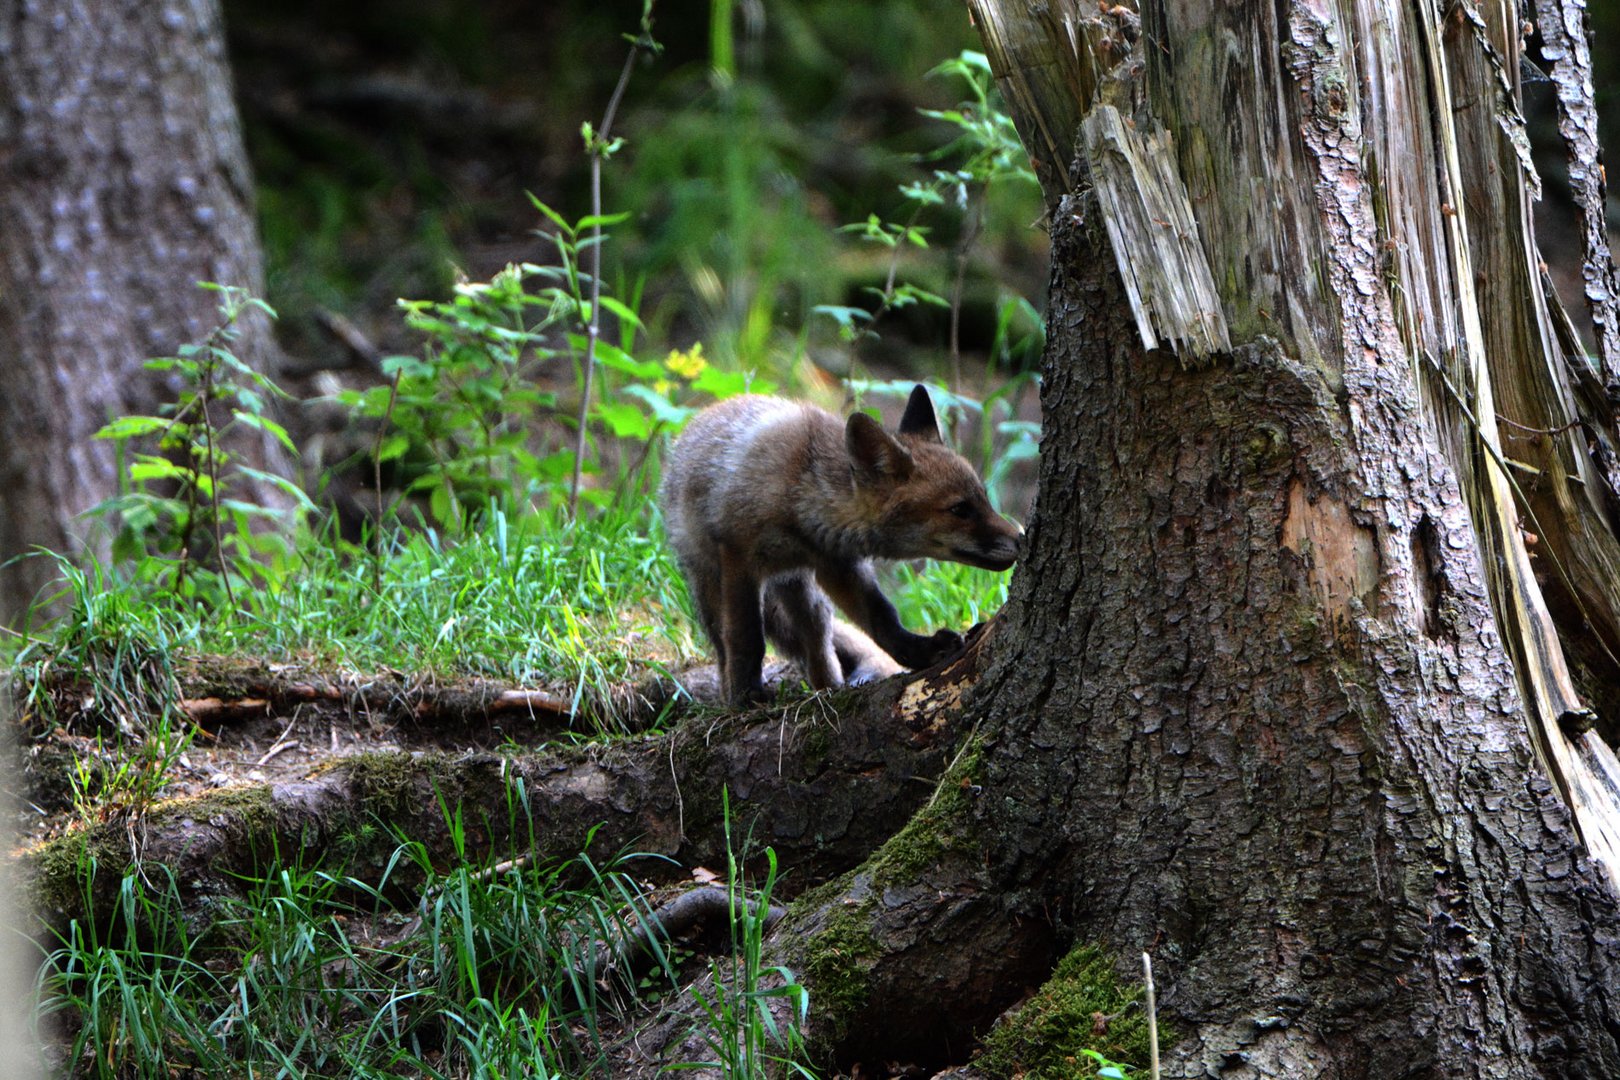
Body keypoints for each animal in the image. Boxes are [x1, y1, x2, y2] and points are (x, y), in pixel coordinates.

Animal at [660, 383, 1017, 705]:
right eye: (960, 509)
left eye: (984, 499)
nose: (1021, 538)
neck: (800, 502)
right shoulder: (739, 557)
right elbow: (746, 638)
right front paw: (746, 697)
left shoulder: (837, 564)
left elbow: (882, 618)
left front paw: (920, 652)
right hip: (710, 586)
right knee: (724, 644)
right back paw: (731, 693)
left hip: (806, 594)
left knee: (819, 641)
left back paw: (829, 689)